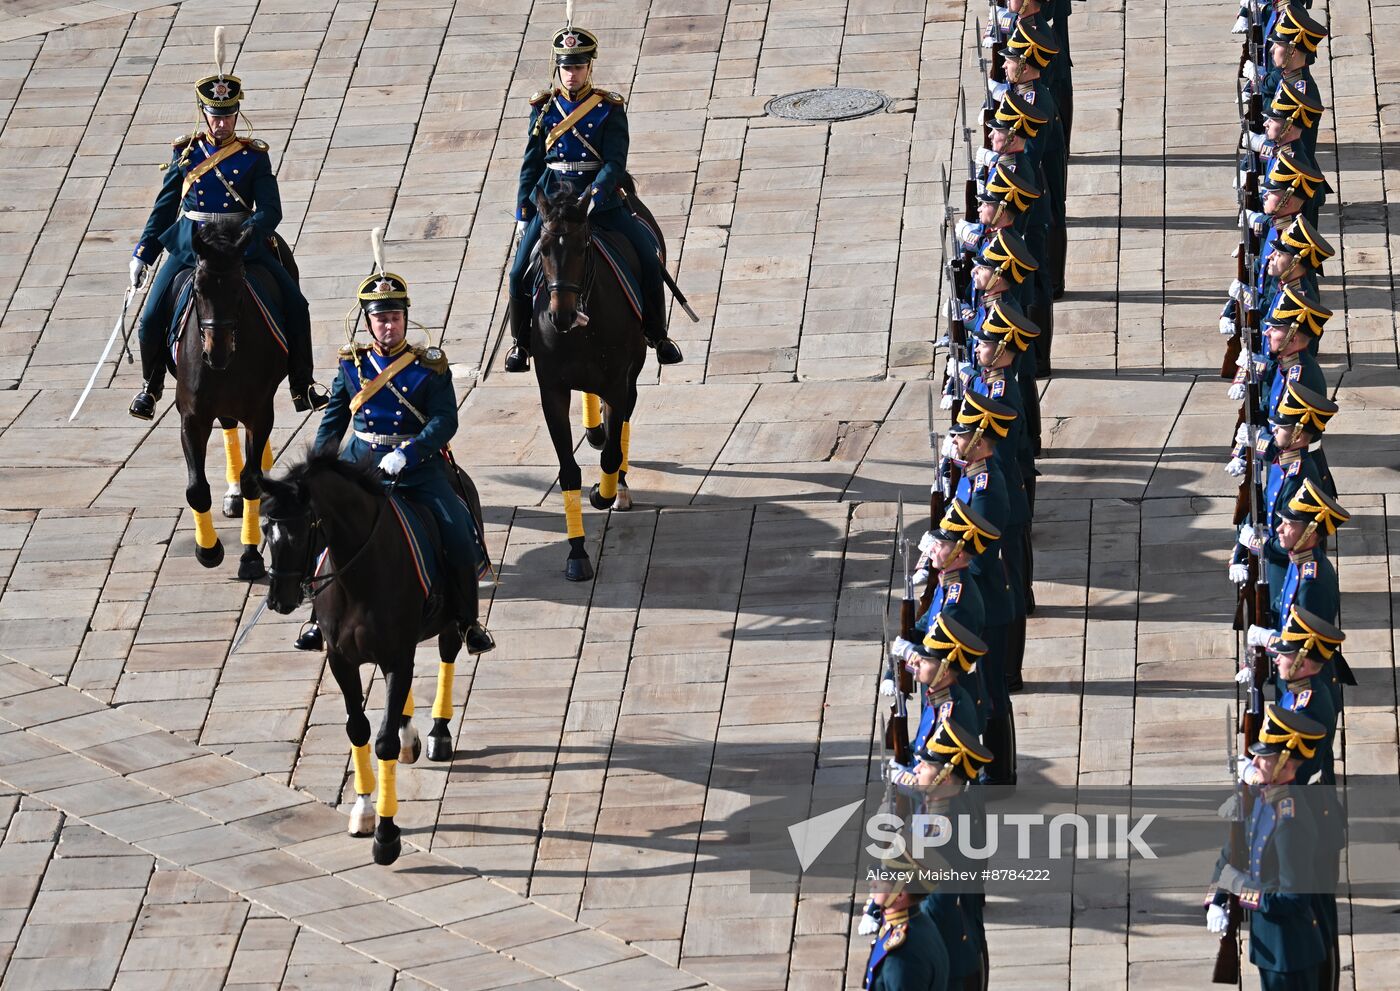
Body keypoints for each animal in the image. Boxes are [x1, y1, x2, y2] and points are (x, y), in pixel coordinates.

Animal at [179, 218, 291, 579]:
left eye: (239, 288)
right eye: (198, 289)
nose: (216, 353)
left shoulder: (260, 412)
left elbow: (252, 479)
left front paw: (251, 556)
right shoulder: (192, 417)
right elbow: (196, 489)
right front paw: (208, 549)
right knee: (228, 424)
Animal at [264, 453, 473, 862]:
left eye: (301, 531)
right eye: (266, 528)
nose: (278, 599)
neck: (359, 576)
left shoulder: (396, 657)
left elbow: (384, 741)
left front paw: (387, 835)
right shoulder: (342, 661)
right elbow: (358, 729)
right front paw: (362, 811)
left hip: (449, 618)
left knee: (448, 654)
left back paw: (439, 732)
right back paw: (410, 732)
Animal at [529, 186, 649, 579]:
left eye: (583, 248)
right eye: (542, 249)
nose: (562, 315)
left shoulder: (617, 383)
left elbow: (613, 452)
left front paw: (603, 493)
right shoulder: (551, 391)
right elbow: (568, 472)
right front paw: (577, 553)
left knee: (621, 428)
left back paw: (619, 487)